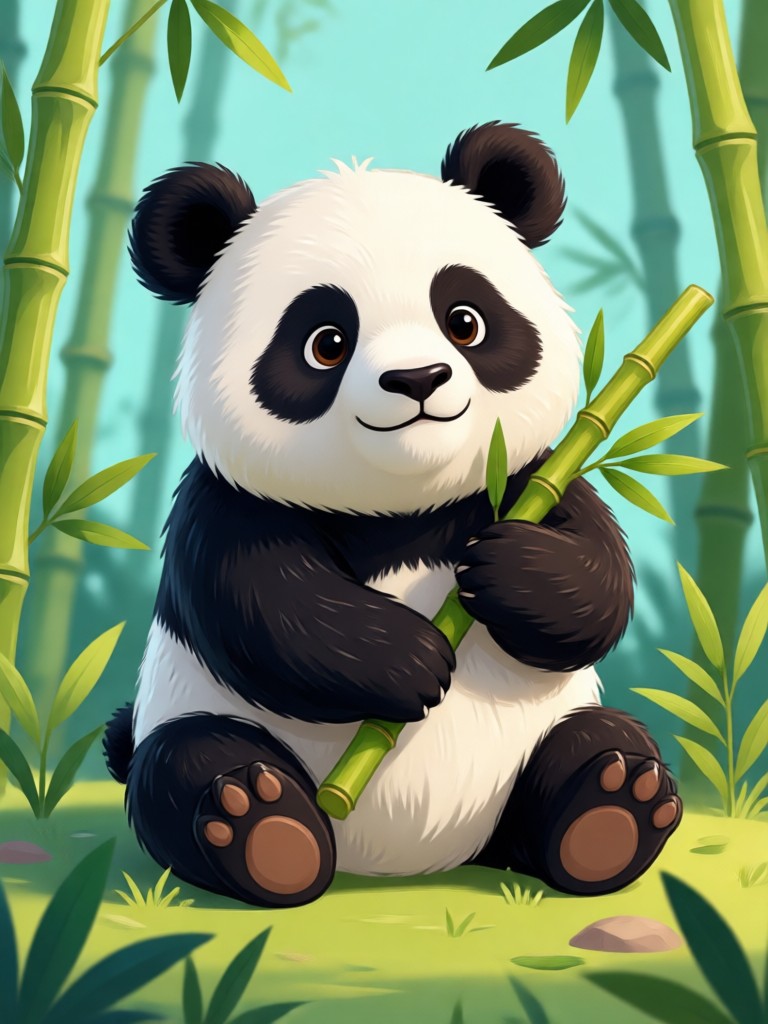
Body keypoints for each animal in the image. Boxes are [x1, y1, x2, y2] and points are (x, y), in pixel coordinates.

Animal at [104, 122, 681, 909]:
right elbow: (260, 603)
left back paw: (612, 810)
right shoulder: (223, 502)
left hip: (530, 756)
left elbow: (597, 584)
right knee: (180, 762)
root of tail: (400, 862)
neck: (405, 504)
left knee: (596, 739)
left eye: (465, 321)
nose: (416, 379)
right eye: (326, 342)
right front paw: (411, 659)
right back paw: (263, 828)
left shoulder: (535, 474)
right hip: (194, 722)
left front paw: (512, 570)